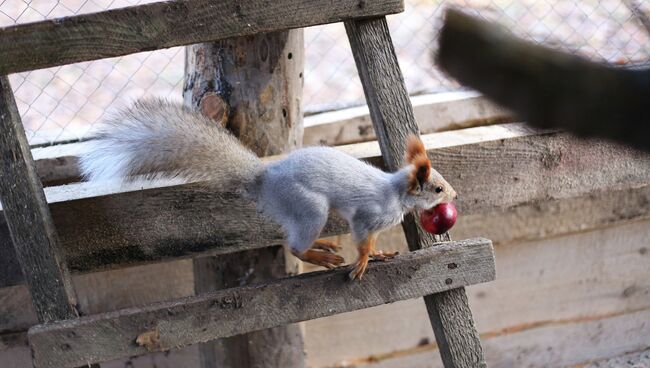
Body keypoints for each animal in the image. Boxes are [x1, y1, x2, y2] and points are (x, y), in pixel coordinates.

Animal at [79, 99, 456, 278]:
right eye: (437, 188)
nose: (455, 196)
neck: (398, 194)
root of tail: (265, 179)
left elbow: (372, 244)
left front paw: (380, 254)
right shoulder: (368, 217)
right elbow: (362, 240)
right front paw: (363, 262)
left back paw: (325, 245)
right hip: (309, 208)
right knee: (293, 247)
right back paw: (319, 255)